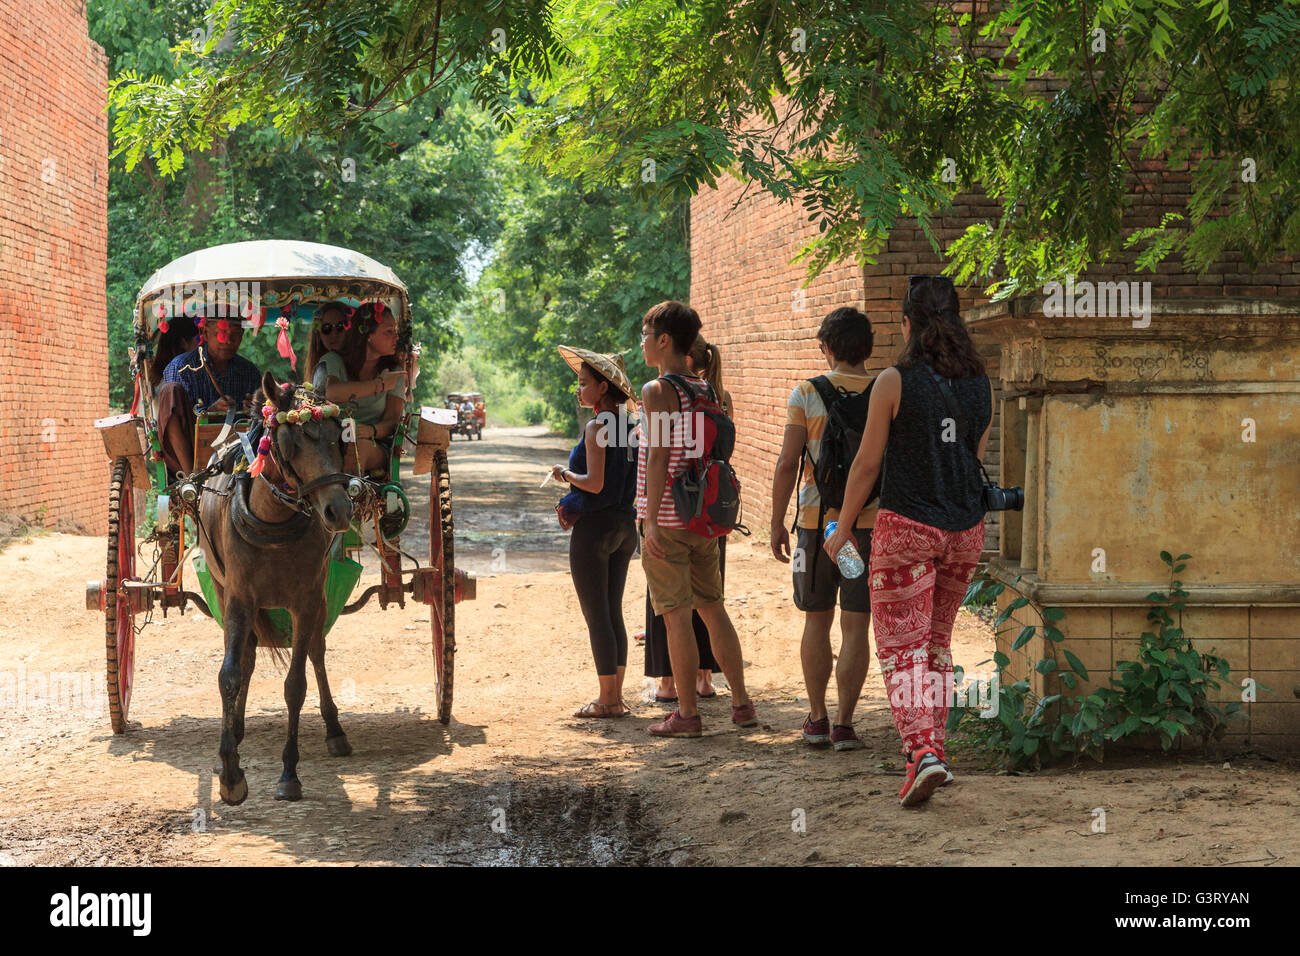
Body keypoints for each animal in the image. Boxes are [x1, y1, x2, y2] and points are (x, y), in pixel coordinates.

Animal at [195, 369, 356, 806]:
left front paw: (289, 773)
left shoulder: (305, 602)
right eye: (289, 442)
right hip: (226, 594)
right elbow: (229, 674)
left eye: (339, 437)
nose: (339, 511)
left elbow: (295, 685)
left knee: (316, 652)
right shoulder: (237, 598)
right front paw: (230, 772)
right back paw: (234, 733)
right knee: (246, 658)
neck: (273, 522)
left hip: (319, 600)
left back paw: (335, 731)